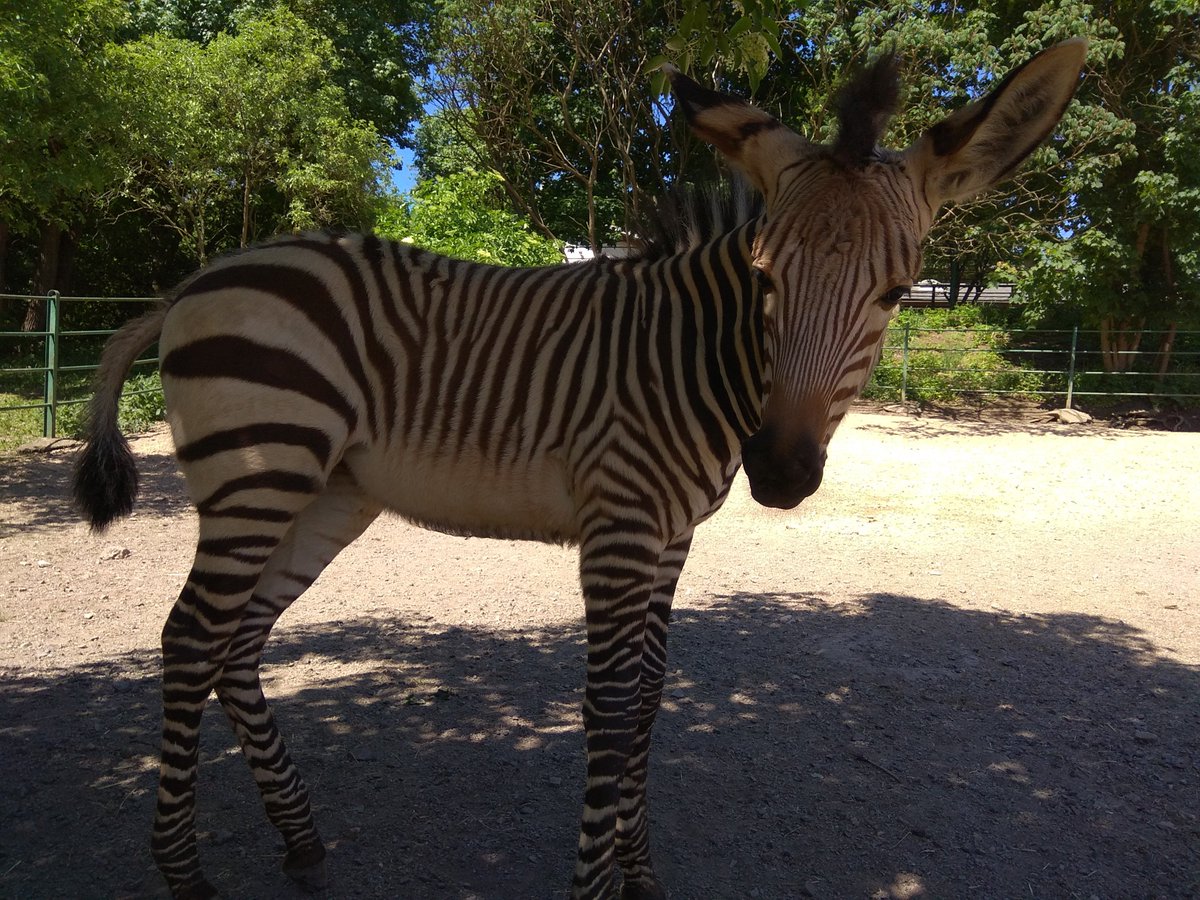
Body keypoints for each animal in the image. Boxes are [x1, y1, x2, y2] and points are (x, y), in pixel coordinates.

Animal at [73, 40, 1086, 900]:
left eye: (894, 292)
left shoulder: (670, 538)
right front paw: (602, 881)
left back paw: (301, 841)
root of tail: (203, 276)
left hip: (324, 493)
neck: (693, 357)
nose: (780, 473)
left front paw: (641, 875)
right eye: (765, 280)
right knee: (190, 639)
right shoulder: (621, 526)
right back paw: (183, 871)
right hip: (258, 473)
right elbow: (606, 706)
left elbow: (647, 703)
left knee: (237, 644)